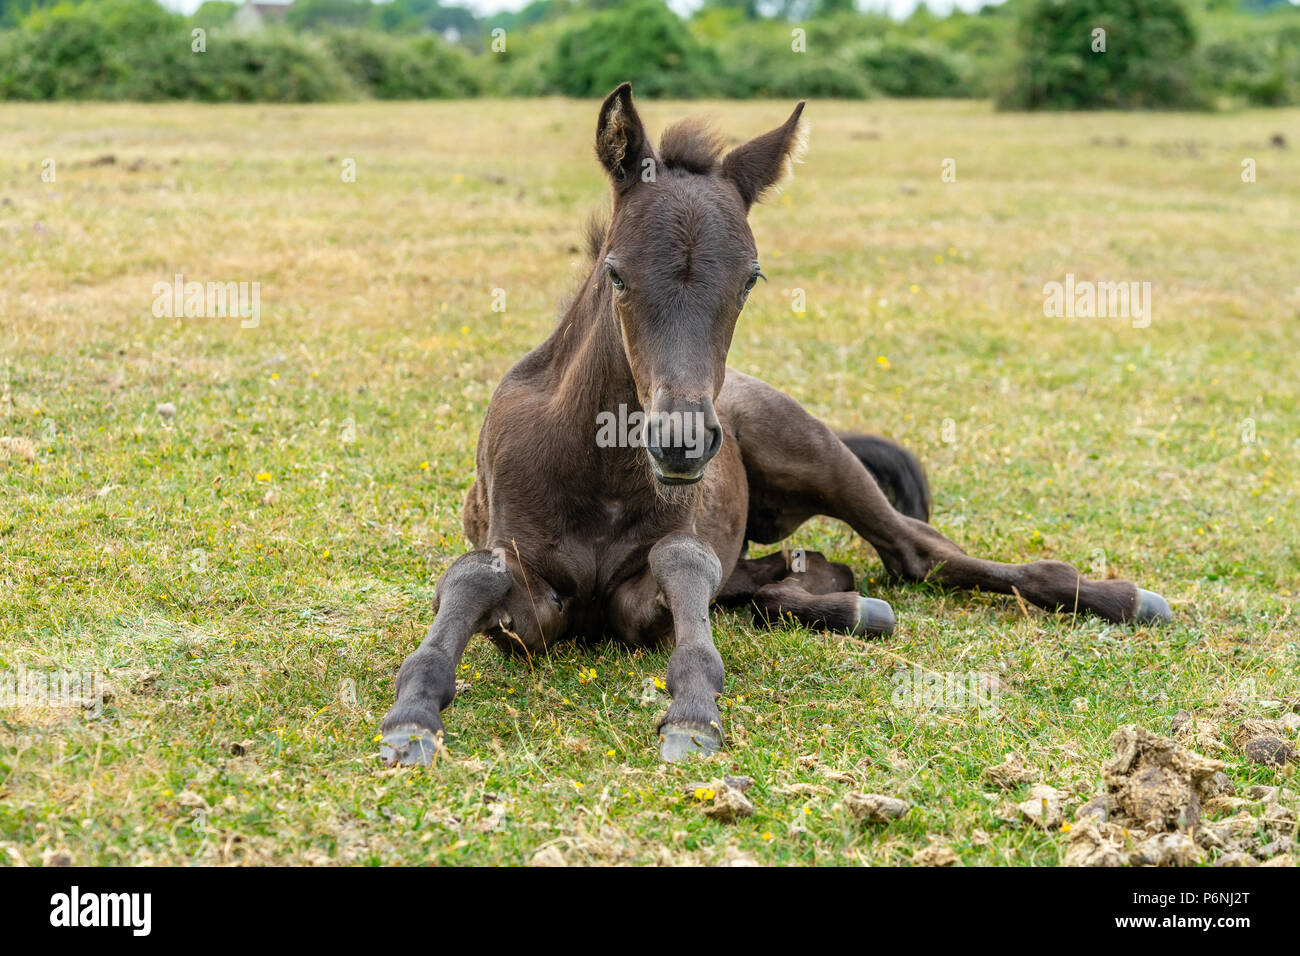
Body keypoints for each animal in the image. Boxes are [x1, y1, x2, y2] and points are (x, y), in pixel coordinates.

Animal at [377, 85, 1170, 764]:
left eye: (750, 278)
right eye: (615, 272)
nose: (682, 443)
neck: (596, 471)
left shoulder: (651, 589)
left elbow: (682, 565)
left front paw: (693, 712)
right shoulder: (529, 601)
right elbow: (475, 576)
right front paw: (412, 718)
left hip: (819, 454)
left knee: (916, 552)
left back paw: (1121, 598)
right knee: (795, 576)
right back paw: (850, 603)